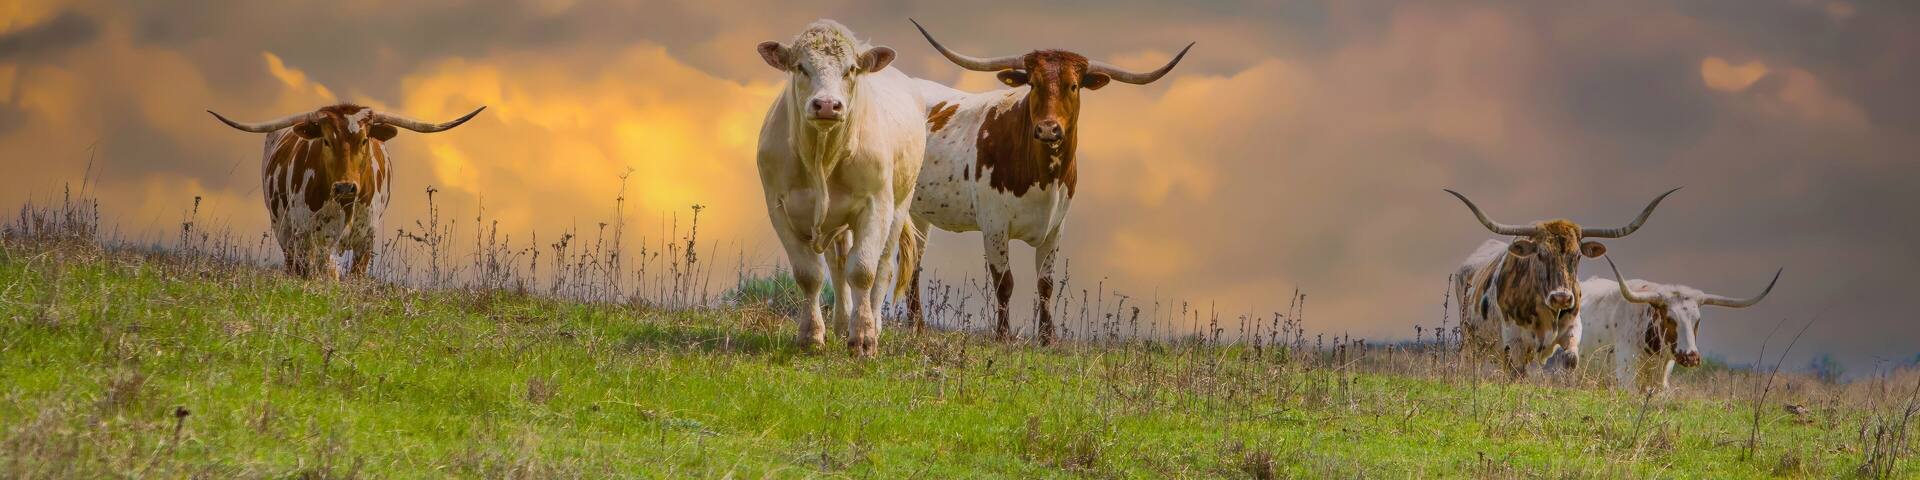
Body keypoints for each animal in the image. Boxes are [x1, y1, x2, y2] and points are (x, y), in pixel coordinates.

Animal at [209, 104, 484, 280]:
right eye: (326, 140)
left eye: (364, 140)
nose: (345, 186)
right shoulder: (312, 236)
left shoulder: (366, 237)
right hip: (283, 228)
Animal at [755, 20, 925, 356]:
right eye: (800, 67)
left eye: (851, 69)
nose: (826, 105)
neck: (822, 155)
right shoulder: (778, 207)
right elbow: (810, 274)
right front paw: (811, 335)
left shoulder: (876, 204)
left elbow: (863, 270)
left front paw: (864, 339)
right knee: (838, 262)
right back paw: (841, 322)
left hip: (900, 204)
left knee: (882, 266)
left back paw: (873, 322)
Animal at [900, 19, 1192, 344]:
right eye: (1033, 83)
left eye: (1073, 85)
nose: (1048, 129)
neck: (1042, 177)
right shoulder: (994, 224)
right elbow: (1004, 282)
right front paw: (1003, 335)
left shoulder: (1055, 228)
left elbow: (1046, 284)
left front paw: (1047, 338)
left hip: (919, 213)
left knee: (914, 261)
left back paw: (917, 326)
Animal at [1447, 188, 1678, 377]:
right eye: (1540, 254)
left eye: (1577, 256)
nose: (1561, 297)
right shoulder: (1513, 340)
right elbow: (1517, 371)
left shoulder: (1573, 328)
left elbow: (1571, 359)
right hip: (1471, 340)